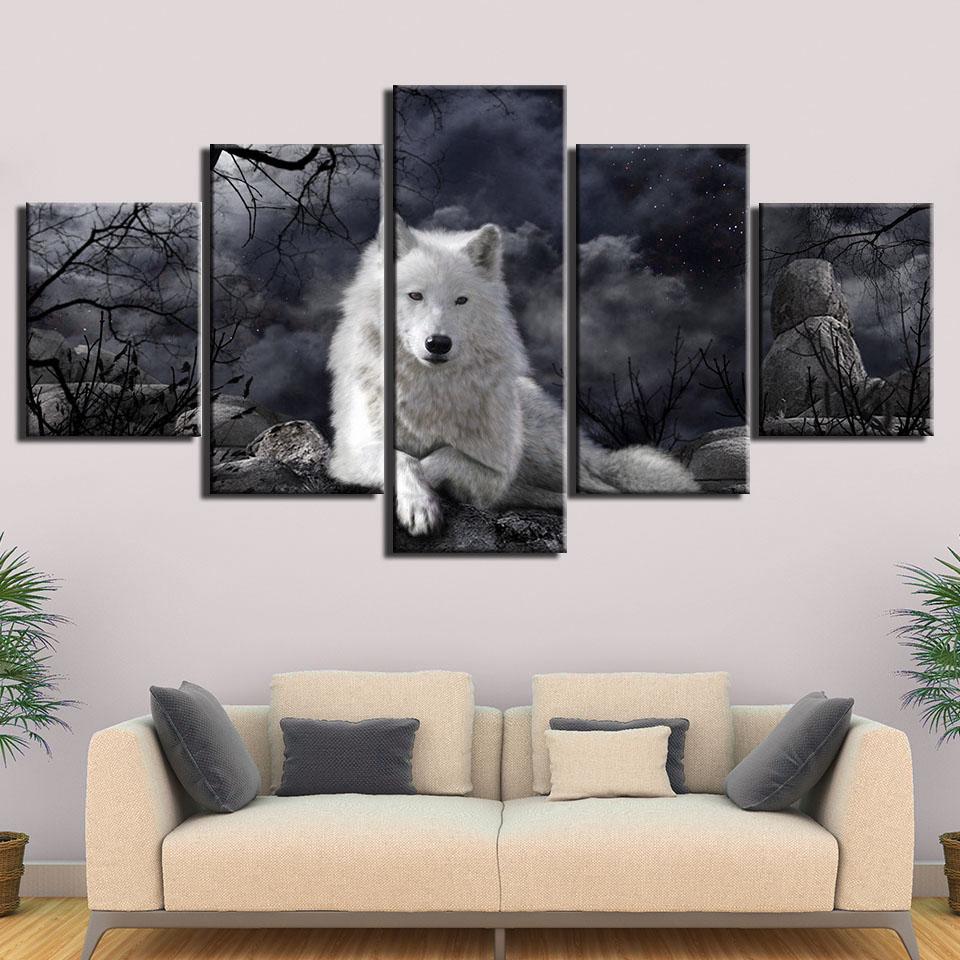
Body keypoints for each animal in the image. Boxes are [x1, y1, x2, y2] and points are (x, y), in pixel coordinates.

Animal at [328, 217, 698, 535]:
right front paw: (420, 504)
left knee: (597, 484)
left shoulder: (494, 467)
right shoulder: (350, 452)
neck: (430, 389)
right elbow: (403, 458)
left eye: (461, 300)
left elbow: (444, 458)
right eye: (415, 295)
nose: (438, 344)